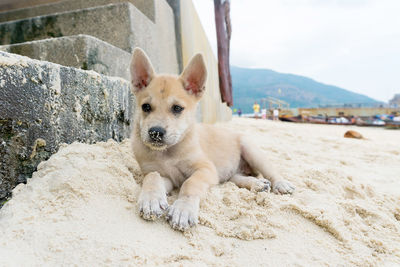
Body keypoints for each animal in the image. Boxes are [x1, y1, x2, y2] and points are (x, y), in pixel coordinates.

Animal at [130, 48, 294, 232]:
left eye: (177, 108)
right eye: (146, 107)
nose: (155, 132)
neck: (168, 153)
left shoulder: (205, 169)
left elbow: (191, 184)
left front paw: (183, 209)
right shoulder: (163, 175)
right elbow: (152, 177)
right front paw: (151, 200)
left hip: (251, 151)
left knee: (271, 171)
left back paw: (280, 184)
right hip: (229, 173)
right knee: (237, 178)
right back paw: (257, 184)